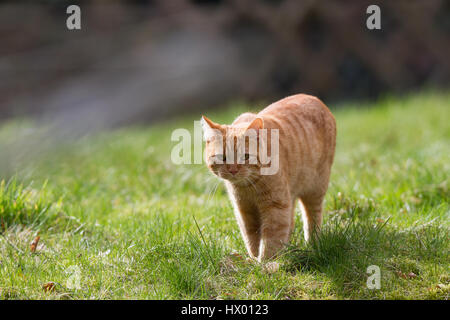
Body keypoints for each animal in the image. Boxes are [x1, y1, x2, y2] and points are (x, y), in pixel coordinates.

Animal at [202, 94, 336, 262]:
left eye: (245, 156)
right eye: (223, 157)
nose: (233, 170)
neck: (248, 187)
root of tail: (315, 98)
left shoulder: (276, 206)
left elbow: (271, 239)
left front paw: (265, 263)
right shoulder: (244, 210)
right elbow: (251, 237)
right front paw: (254, 259)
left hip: (315, 189)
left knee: (312, 217)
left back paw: (312, 244)